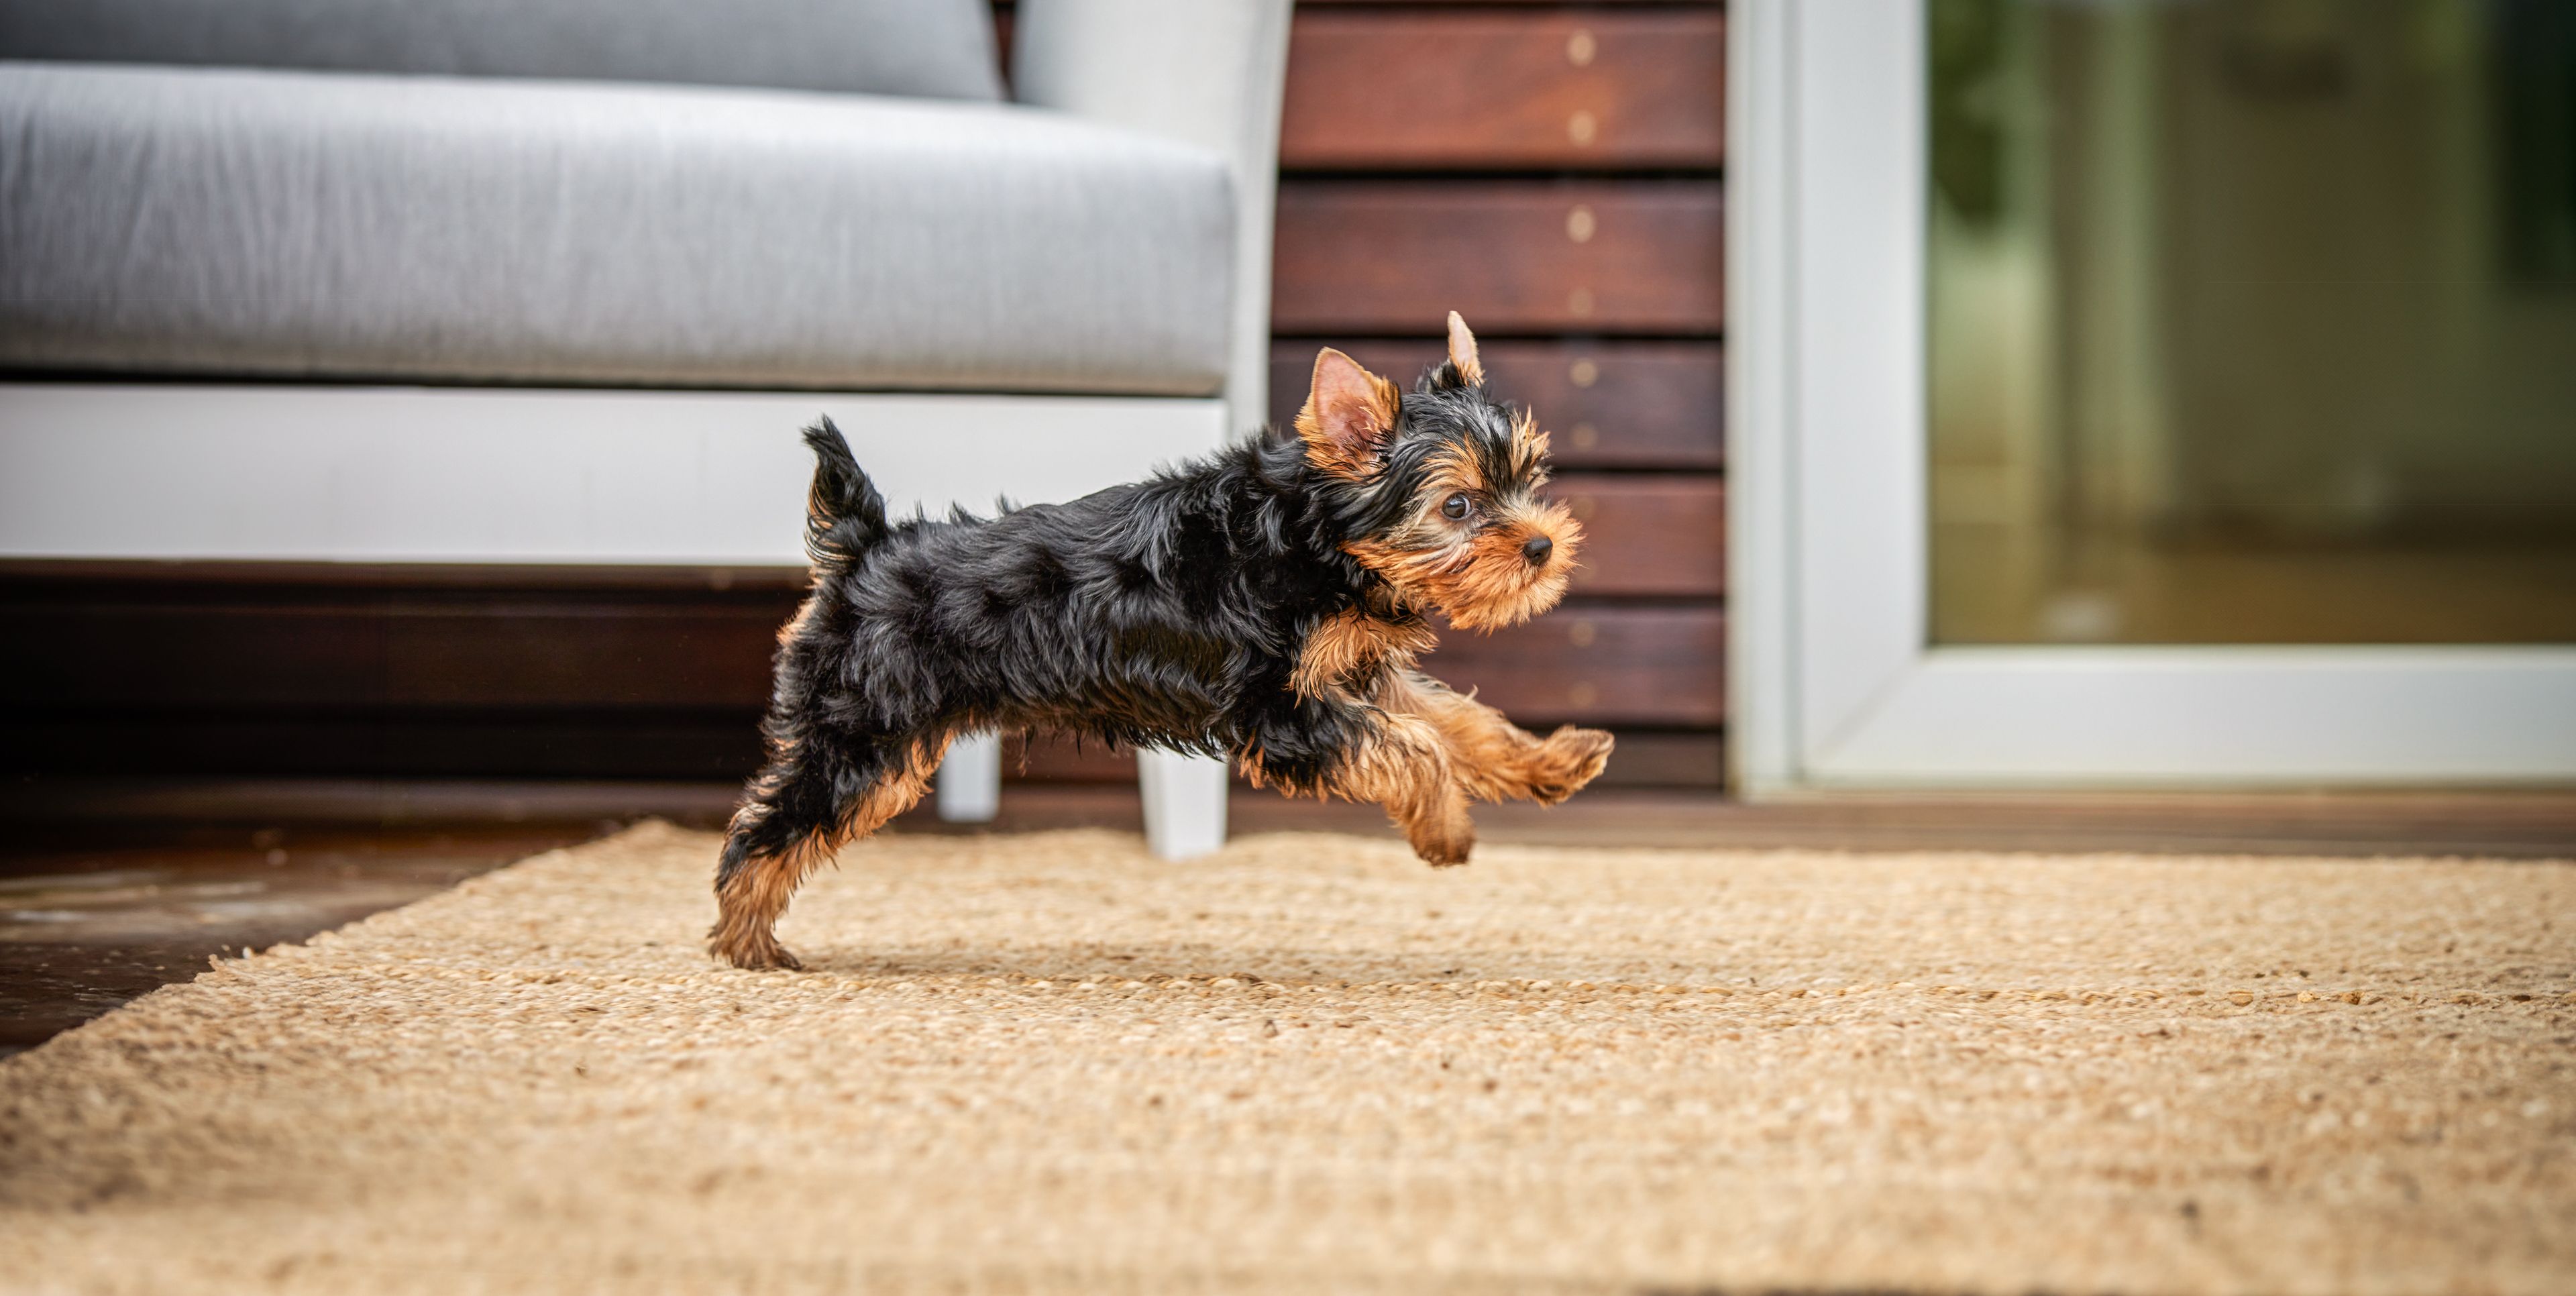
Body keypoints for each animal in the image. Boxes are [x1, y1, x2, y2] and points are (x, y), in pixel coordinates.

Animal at [710, 309, 1607, 969]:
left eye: (1528, 479)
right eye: (1458, 507)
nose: (1543, 547)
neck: (1321, 537)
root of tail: (866, 549)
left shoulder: (1351, 677)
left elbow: (1455, 722)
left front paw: (1546, 762)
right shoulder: (1277, 710)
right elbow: (1412, 748)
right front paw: (1444, 827)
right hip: (866, 726)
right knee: (771, 824)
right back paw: (746, 945)